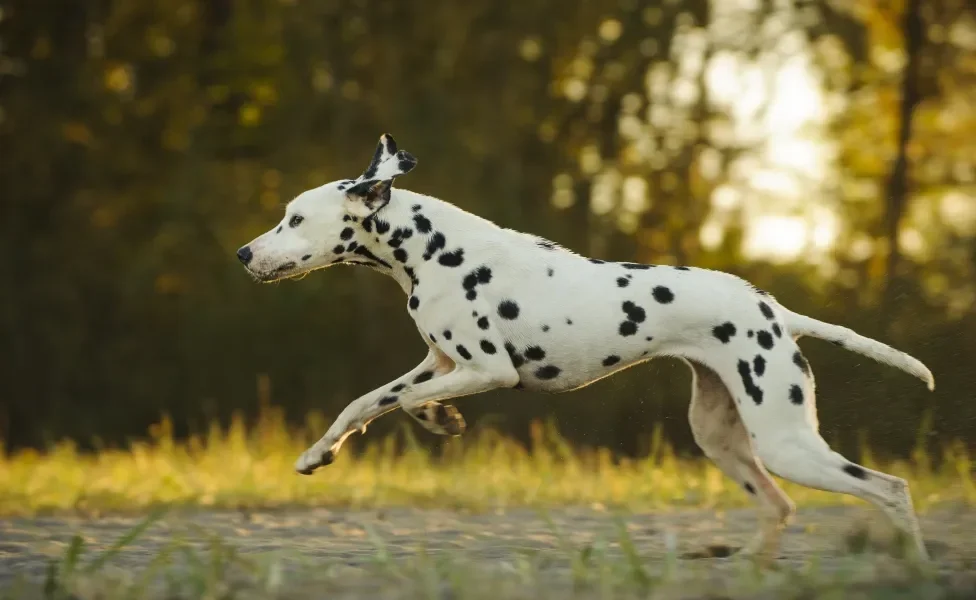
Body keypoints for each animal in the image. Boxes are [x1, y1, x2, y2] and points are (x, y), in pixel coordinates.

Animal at [238, 135, 936, 564]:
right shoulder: (439, 364)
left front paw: (439, 419)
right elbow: (365, 404)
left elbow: (405, 403)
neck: (435, 250)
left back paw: (916, 566)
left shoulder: (487, 369)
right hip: (725, 440)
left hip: (787, 443)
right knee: (781, 506)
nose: (244, 253)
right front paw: (320, 453)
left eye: (294, 219)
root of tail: (775, 312)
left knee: (890, 489)